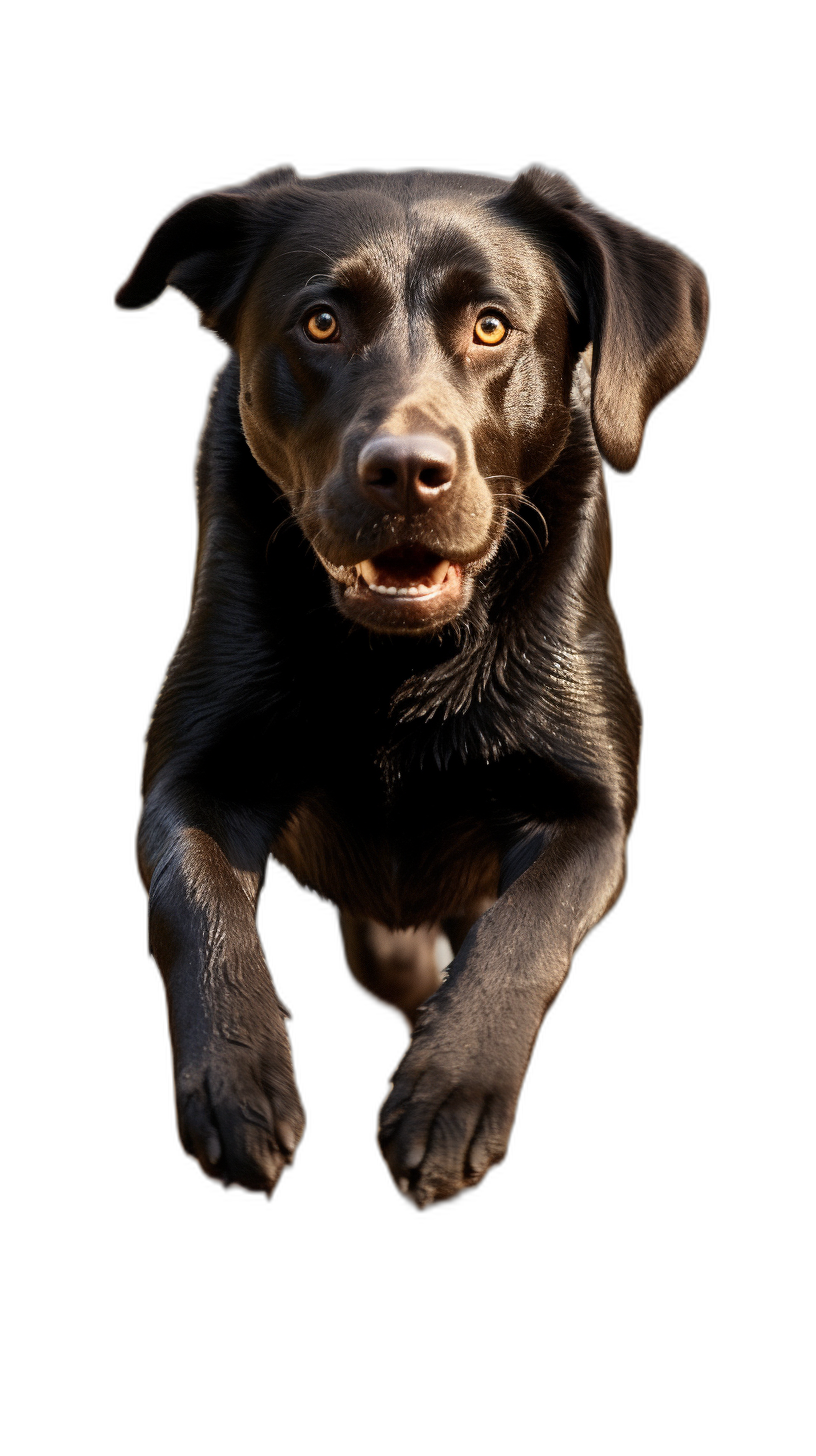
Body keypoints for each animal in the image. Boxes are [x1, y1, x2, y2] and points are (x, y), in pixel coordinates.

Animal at [115, 162, 708, 1205]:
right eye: (320, 323)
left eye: (492, 326)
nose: (403, 472)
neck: (402, 662)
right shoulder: (192, 779)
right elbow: (196, 906)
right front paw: (237, 1086)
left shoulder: (590, 813)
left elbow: (525, 930)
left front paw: (450, 1096)